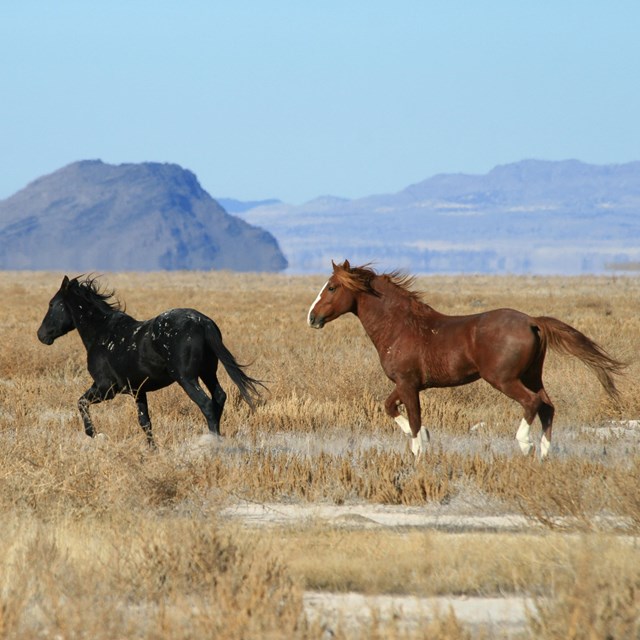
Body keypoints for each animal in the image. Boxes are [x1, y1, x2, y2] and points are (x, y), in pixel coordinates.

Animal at [37, 274, 264, 444]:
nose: (41, 335)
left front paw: (96, 434)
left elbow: (81, 402)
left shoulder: (105, 388)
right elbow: (145, 422)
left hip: (187, 378)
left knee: (207, 405)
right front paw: (152, 450)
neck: (102, 333)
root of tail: (202, 322)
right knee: (219, 397)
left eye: (52, 304)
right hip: (208, 372)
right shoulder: (138, 391)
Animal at [306, 262, 624, 460]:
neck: (400, 327)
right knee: (548, 407)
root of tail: (532, 321)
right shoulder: (407, 384)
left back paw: (525, 445)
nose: (311, 317)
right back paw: (544, 454)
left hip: (504, 379)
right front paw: (424, 437)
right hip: (533, 375)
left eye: (332, 287)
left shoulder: (408, 384)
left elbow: (413, 419)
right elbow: (390, 407)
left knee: (532, 403)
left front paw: (419, 451)